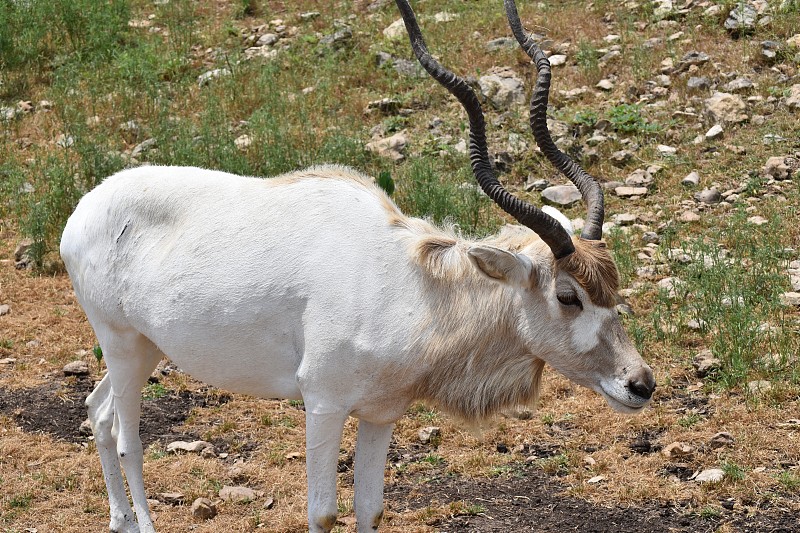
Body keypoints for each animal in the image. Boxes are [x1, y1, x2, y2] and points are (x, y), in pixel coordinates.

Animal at [61, 2, 648, 528]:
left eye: (615, 289)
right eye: (567, 295)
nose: (641, 384)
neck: (410, 284)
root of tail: (84, 210)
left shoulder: (381, 411)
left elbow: (372, 508)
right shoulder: (323, 403)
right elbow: (322, 513)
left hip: (147, 347)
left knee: (97, 410)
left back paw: (118, 519)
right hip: (120, 342)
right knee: (127, 437)